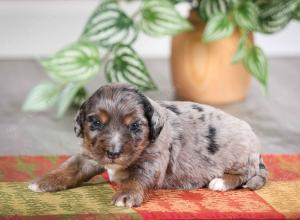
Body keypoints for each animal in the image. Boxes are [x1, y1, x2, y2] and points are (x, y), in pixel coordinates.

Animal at [28, 83, 268, 207]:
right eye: (96, 123)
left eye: (135, 126)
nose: (113, 153)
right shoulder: (89, 154)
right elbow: (70, 168)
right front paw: (44, 181)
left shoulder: (152, 161)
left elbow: (138, 178)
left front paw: (126, 195)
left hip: (239, 156)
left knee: (246, 173)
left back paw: (221, 182)